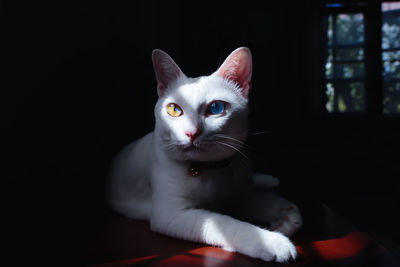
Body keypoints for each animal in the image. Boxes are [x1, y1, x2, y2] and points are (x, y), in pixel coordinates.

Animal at [108, 47, 302, 262]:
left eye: (216, 108)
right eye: (174, 110)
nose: (191, 133)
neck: (211, 170)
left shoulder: (239, 196)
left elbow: (266, 202)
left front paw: (285, 216)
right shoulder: (172, 214)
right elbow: (225, 222)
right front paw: (271, 242)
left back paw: (269, 181)